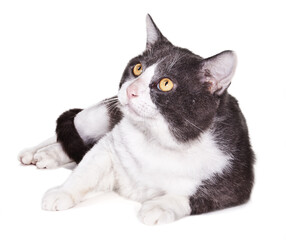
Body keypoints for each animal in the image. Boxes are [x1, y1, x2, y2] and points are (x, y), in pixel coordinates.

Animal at [18, 14, 255, 225]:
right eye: (138, 68)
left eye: (166, 83)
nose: (130, 89)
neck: (159, 139)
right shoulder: (111, 145)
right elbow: (87, 167)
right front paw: (63, 192)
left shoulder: (236, 178)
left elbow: (202, 195)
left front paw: (161, 205)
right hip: (101, 113)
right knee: (74, 127)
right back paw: (37, 152)